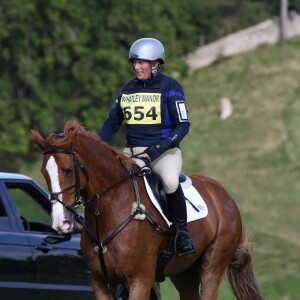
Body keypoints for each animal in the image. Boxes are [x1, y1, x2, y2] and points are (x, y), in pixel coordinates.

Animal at [31, 120, 264, 300]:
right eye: (43, 172)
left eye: (68, 171)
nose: (60, 223)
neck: (112, 208)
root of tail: (225, 196)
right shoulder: (100, 283)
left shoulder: (140, 281)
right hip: (183, 271)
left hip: (213, 265)